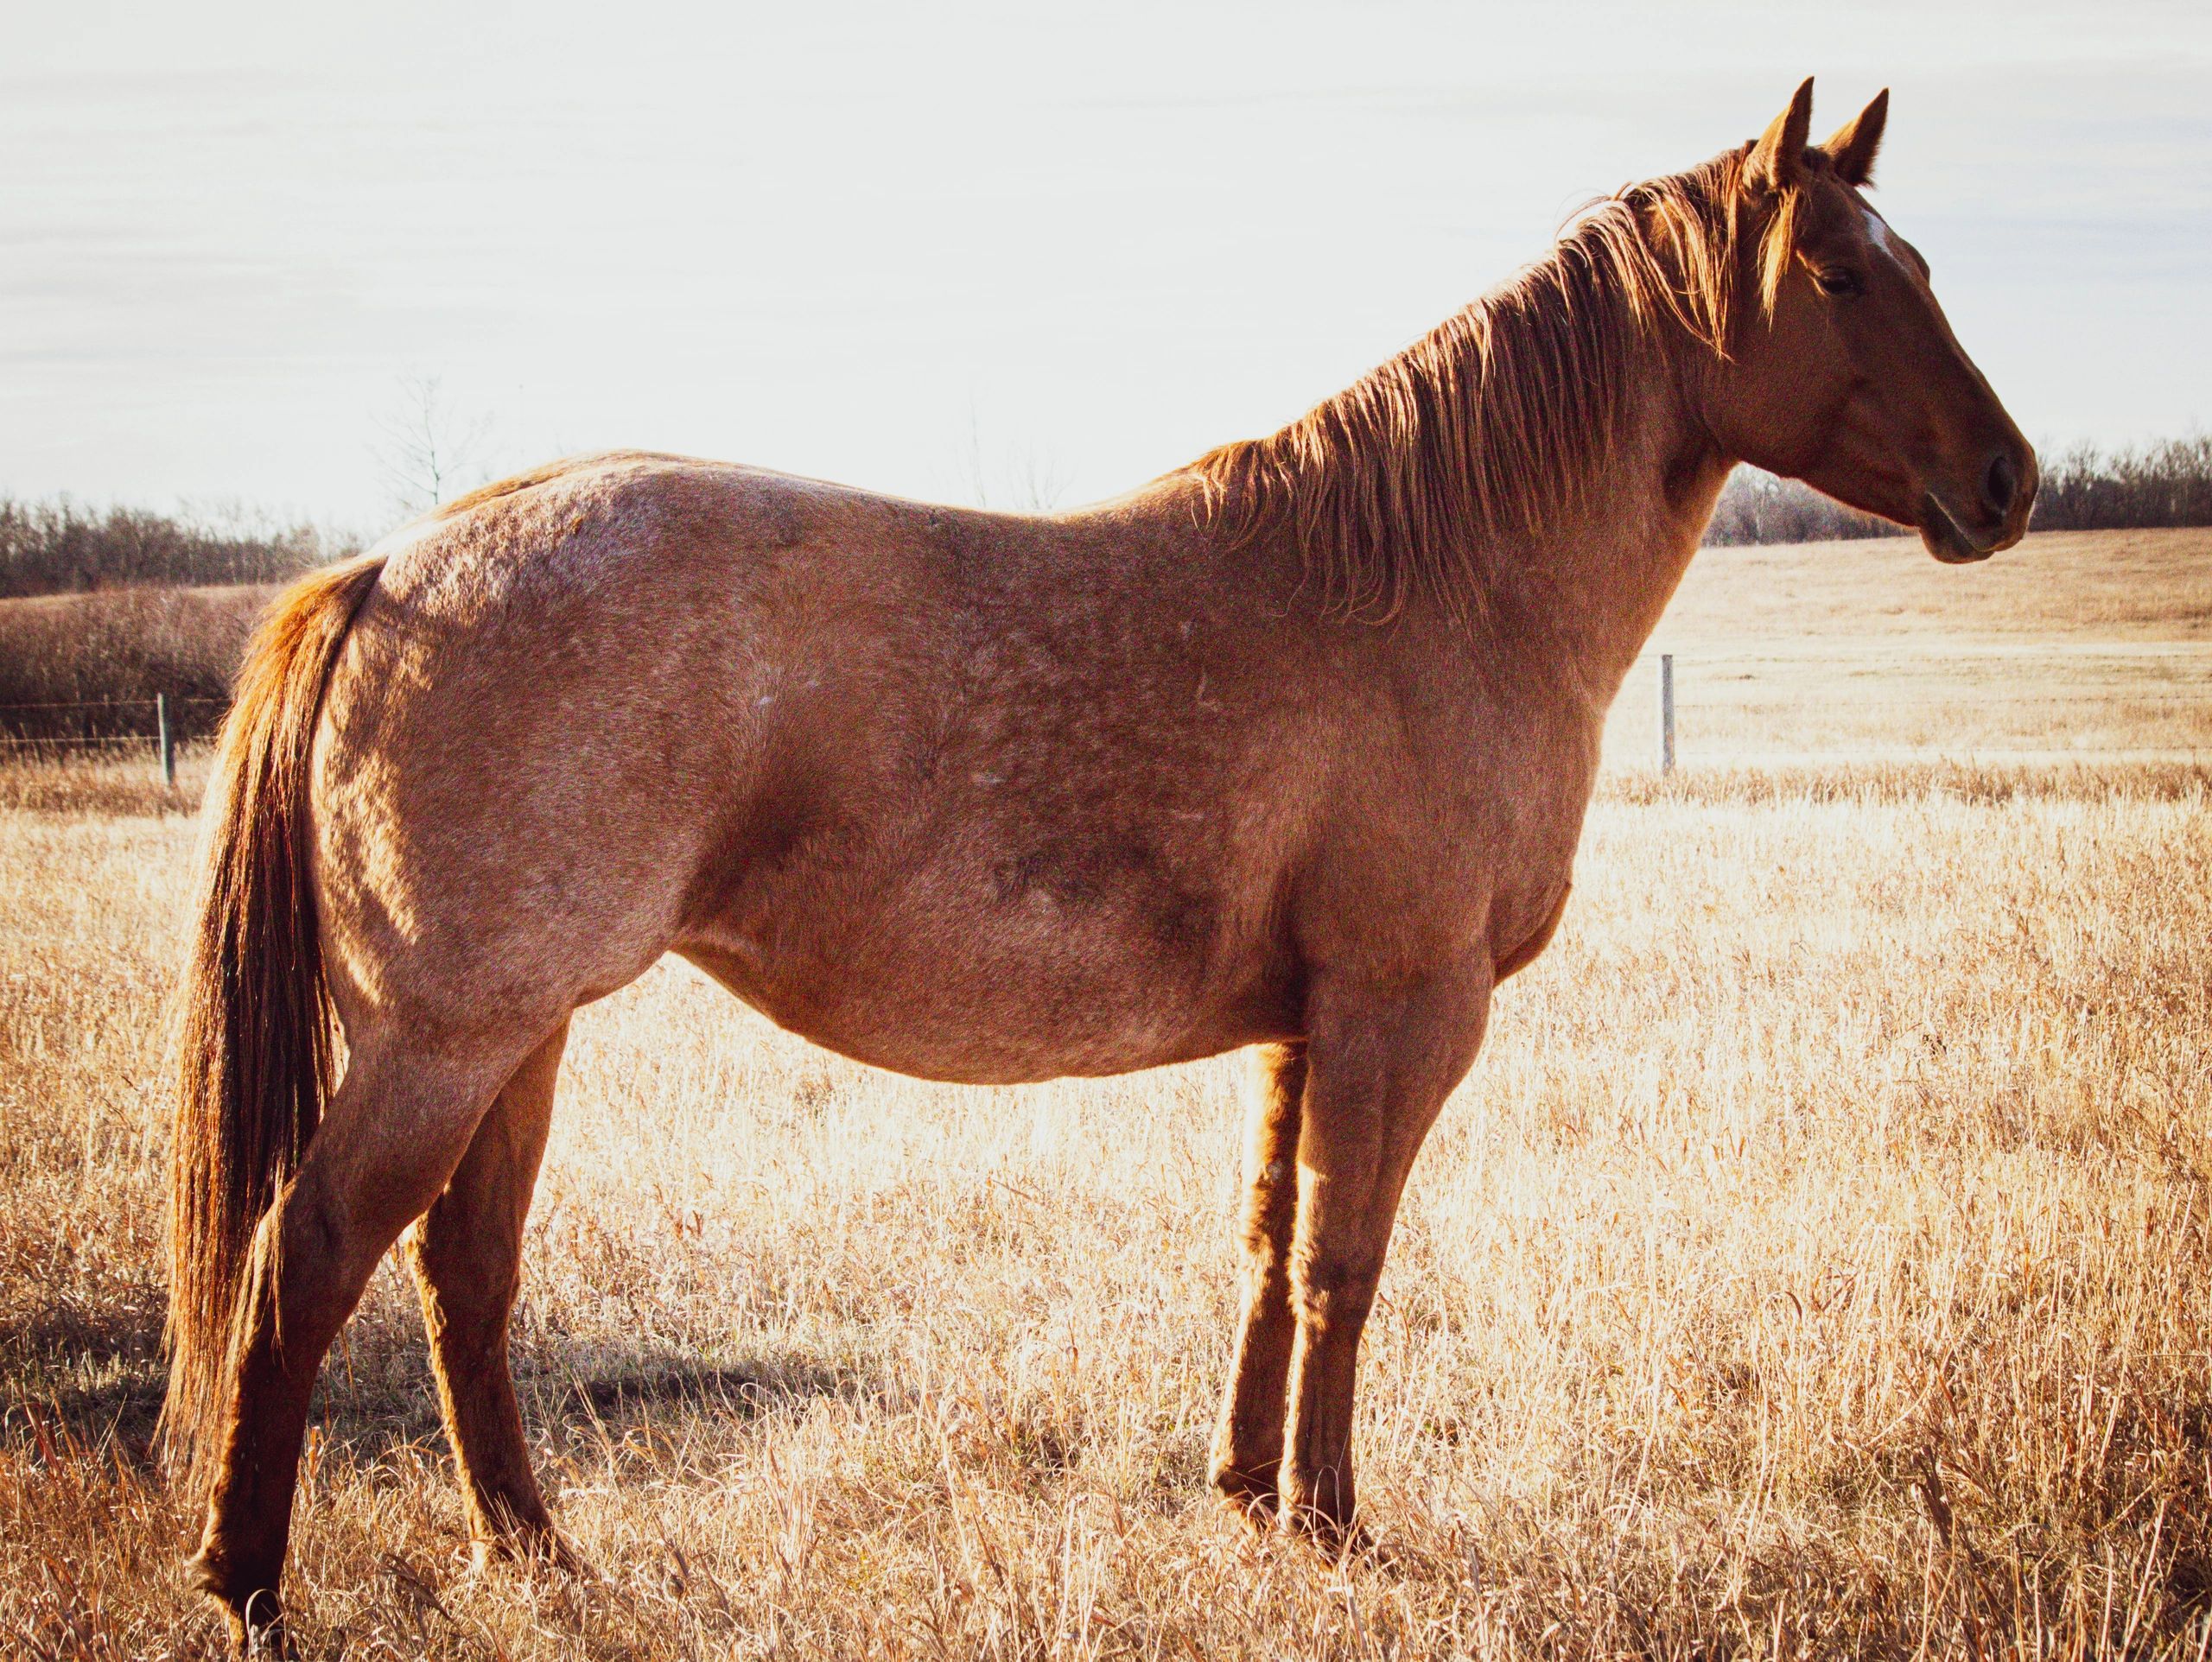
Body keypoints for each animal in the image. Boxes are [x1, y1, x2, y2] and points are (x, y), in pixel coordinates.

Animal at [164, 78, 2034, 1644]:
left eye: (1923, 261)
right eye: (1842, 275)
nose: (2010, 481)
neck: (1433, 584)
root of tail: (392, 566)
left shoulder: (1304, 1022)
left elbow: (1271, 1251)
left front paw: (1249, 1497)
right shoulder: (1402, 1006)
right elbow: (1347, 1258)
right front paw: (1336, 1525)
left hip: (520, 1037)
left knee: (462, 1278)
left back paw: (544, 1558)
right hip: (448, 1040)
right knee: (300, 1260)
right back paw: (248, 1586)